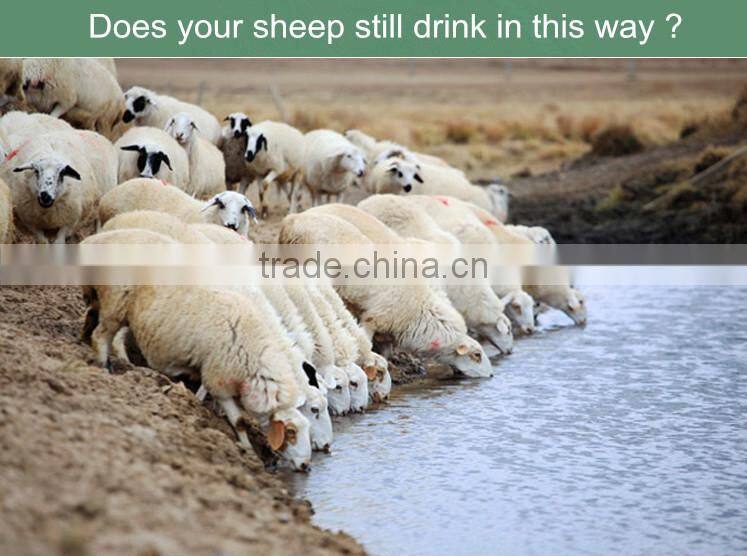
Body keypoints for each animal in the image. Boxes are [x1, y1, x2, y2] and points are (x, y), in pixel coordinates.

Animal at [279, 211, 493, 378]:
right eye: (477, 355)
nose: (491, 375)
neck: (419, 310)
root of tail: (292, 219)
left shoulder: (389, 332)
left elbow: (386, 352)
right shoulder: (374, 318)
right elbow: (365, 339)